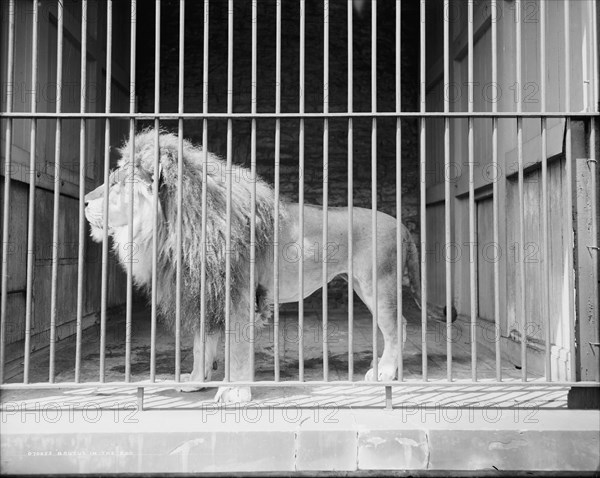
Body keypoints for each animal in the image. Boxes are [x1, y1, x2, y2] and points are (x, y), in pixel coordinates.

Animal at [85, 129, 422, 402]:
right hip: (362, 285)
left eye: (116, 184)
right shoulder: (208, 292)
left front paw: (234, 391)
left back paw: (385, 373)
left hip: (379, 284)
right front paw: (195, 381)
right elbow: (200, 346)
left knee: (394, 327)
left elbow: (236, 349)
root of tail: (401, 225)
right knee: (401, 324)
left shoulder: (239, 295)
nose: (85, 201)